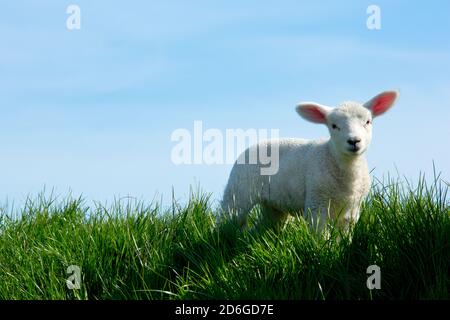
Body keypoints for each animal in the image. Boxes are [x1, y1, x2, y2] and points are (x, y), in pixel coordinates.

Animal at [221, 90, 398, 230]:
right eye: (334, 126)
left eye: (368, 122)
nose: (354, 141)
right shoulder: (317, 205)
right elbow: (322, 236)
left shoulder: (351, 212)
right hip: (238, 193)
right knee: (228, 222)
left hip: (274, 205)